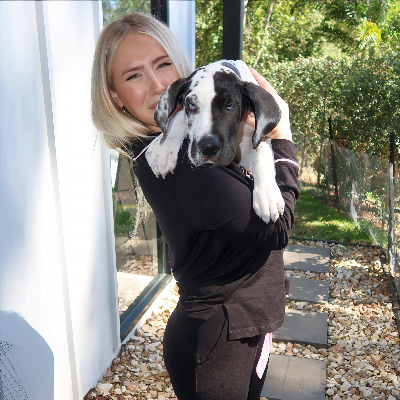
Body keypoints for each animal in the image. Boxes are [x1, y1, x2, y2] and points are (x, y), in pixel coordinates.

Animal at [145, 59, 286, 223]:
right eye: (191, 105)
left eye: (230, 106)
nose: (209, 147)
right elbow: (178, 117)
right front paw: (164, 149)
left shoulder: (260, 132)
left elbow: (261, 151)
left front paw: (267, 195)